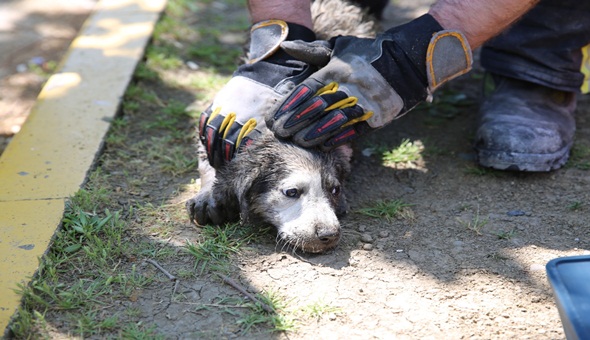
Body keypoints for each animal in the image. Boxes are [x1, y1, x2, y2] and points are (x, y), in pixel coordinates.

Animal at [186, 0, 380, 254]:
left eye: (335, 190)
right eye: (292, 192)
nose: (329, 235)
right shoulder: (210, 129)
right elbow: (207, 161)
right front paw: (208, 194)